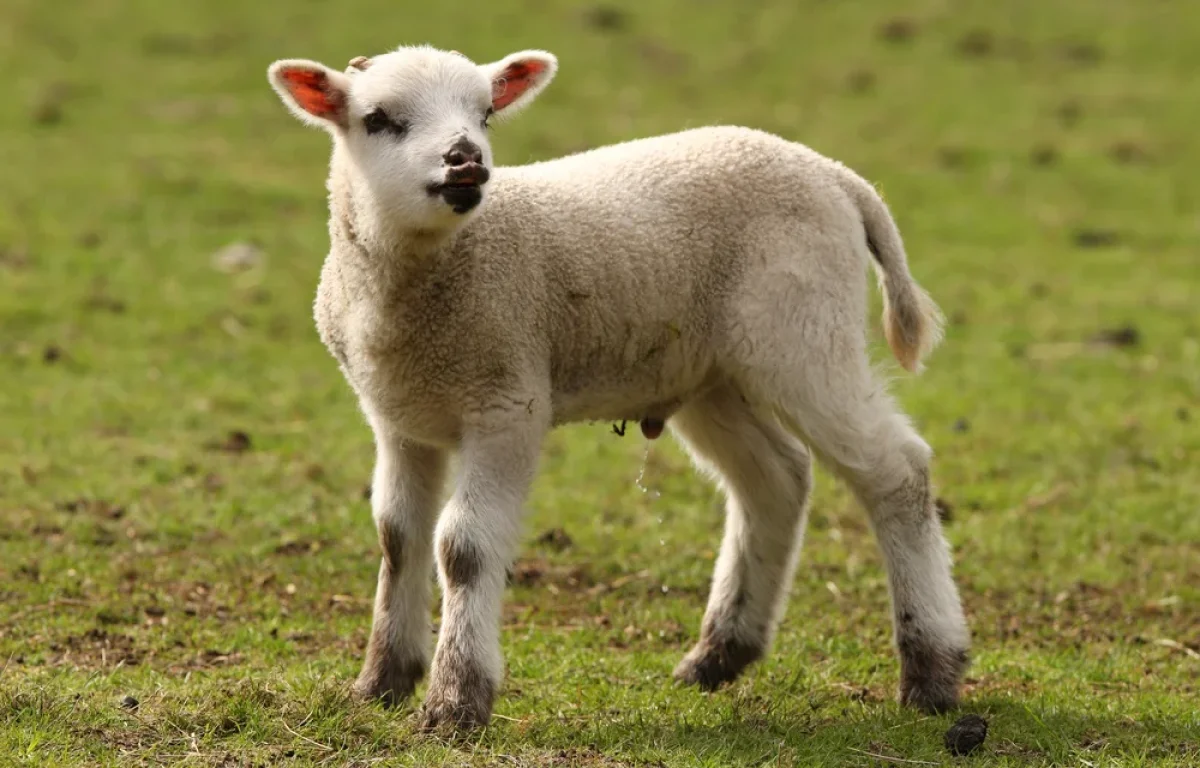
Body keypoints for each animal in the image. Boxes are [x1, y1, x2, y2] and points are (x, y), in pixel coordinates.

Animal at [267, 43, 969, 729]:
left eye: (485, 113)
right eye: (379, 119)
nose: (465, 160)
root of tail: (837, 177)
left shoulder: (508, 401)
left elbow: (462, 547)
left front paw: (455, 700)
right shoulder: (398, 417)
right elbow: (397, 538)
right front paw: (381, 681)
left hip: (804, 332)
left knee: (896, 470)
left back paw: (933, 670)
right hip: (710, 372)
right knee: (776, 479)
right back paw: (718, 654)